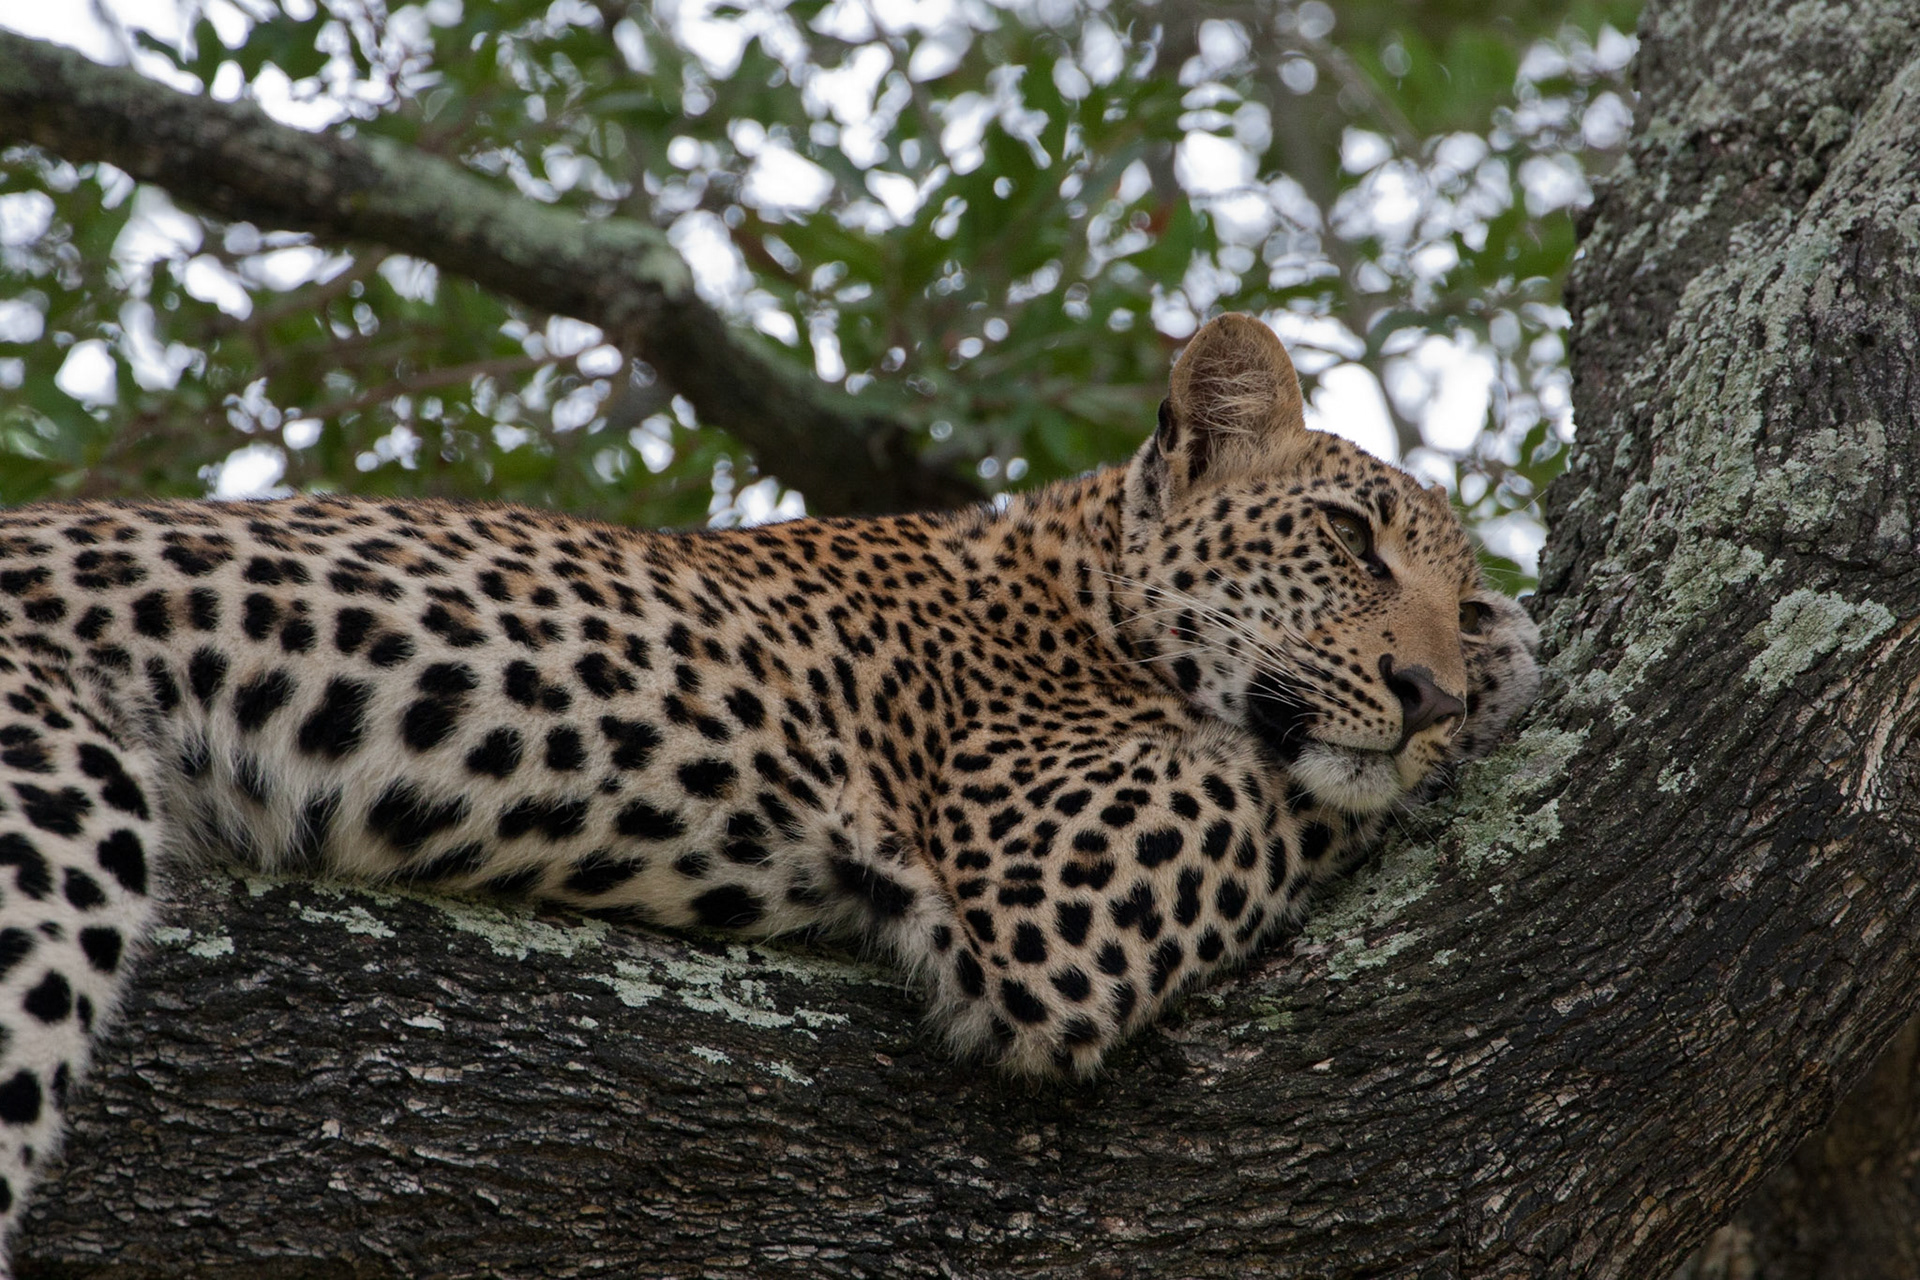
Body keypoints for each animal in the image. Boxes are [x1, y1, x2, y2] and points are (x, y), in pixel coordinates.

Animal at [0, 312, 1538, 1253]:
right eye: (1348, 538)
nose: (1432, 694)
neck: (1076, 585)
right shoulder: (1059, 884)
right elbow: (1297, 787)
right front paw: (1511, 668)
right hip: (48, 809)